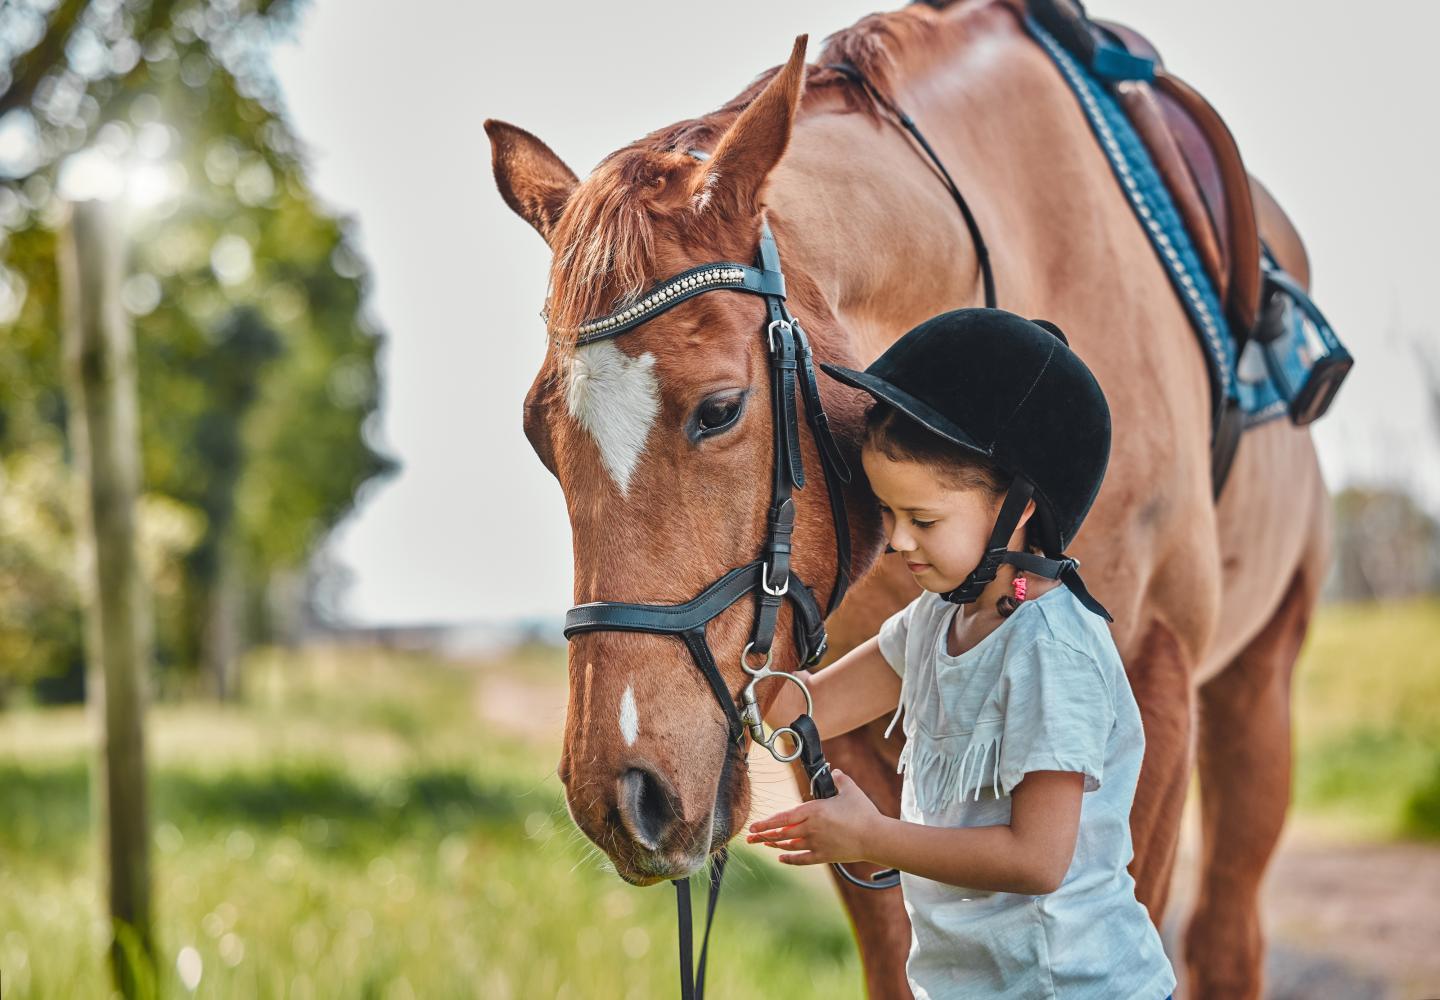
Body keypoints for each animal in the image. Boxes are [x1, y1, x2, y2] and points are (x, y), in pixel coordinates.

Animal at [485, 1, 1331, 996]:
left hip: (1254, 685)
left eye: (719, 409)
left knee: (1225, 934)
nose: (621, 797)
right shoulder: (837, 715)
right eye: (537, 434)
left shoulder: (1153, 686)